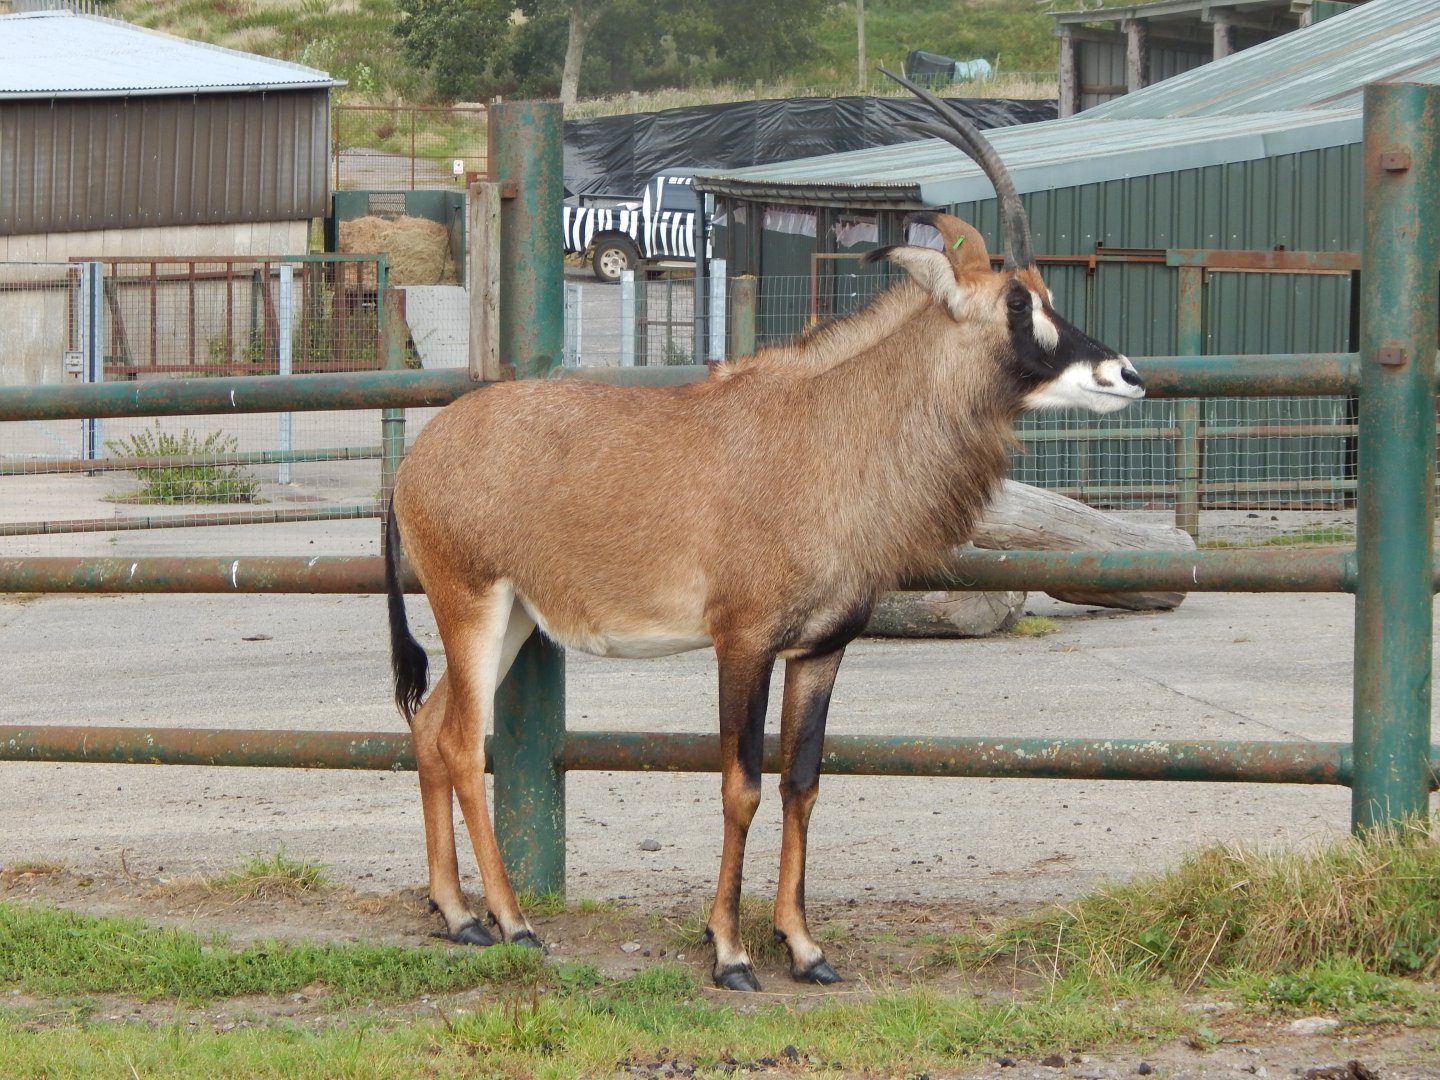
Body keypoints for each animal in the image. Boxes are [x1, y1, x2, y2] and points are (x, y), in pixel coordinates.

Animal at [384, 72, 1145, 991]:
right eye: (1017, 303)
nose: (1125, 374)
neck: (826, 430)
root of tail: (418, 461)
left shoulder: (820, 650)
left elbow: (802, 782)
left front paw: (805, 947)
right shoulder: (740, 643)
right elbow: (740, 783)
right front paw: (730, 951)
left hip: (519, 622)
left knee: (431, 729)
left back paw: (456, 913)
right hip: (473, 604)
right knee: (462, 743)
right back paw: (511, 921)